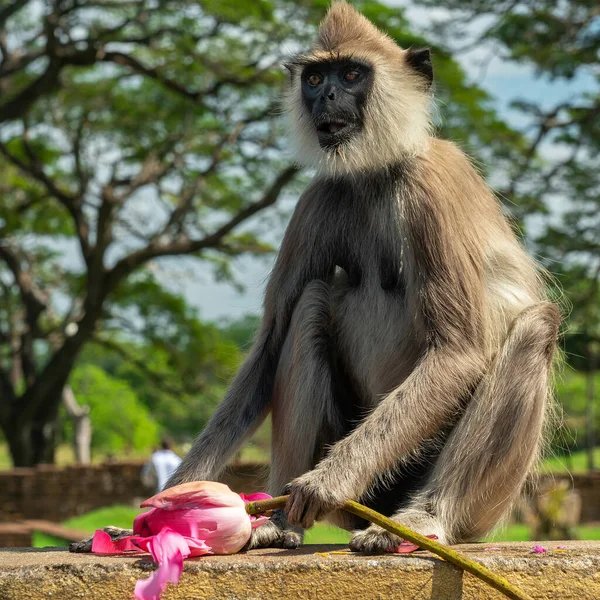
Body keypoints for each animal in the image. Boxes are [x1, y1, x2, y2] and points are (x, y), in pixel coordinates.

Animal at [71, 1, 564, 552]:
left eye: (350, 74)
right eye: (314, 77)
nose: (325, 95)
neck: (375, 172)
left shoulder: (429, 189)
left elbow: (461, 350)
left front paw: (326, 482)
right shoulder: (319, 197)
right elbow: (268, 347)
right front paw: (167, 505)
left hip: (477, 502)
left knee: (536, 325)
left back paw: (423, 517)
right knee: (310, 302)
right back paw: (279, 519)